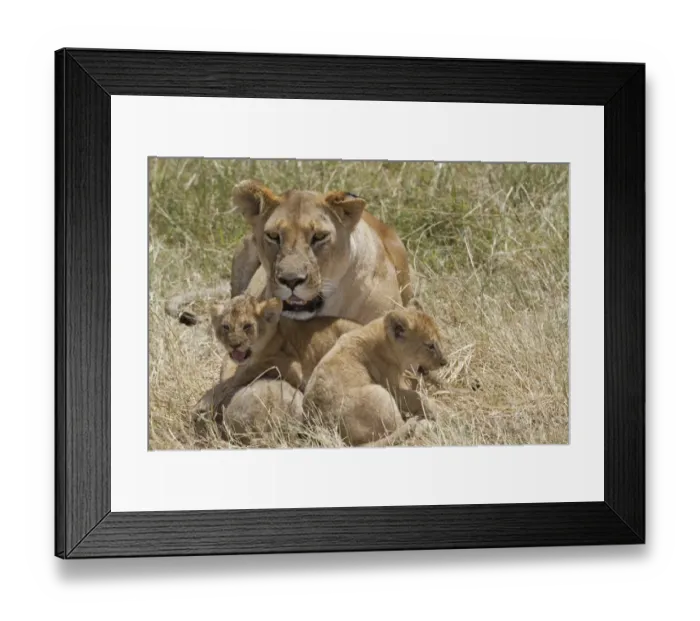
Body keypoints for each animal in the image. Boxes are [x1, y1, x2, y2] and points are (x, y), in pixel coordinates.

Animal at [302, 299, 448, 448]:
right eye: (430, 345)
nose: (444, 362)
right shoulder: (393, 389)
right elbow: (418, 397)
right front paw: (437, 410)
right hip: (380, 394)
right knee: (402, 430)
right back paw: (426, 424)